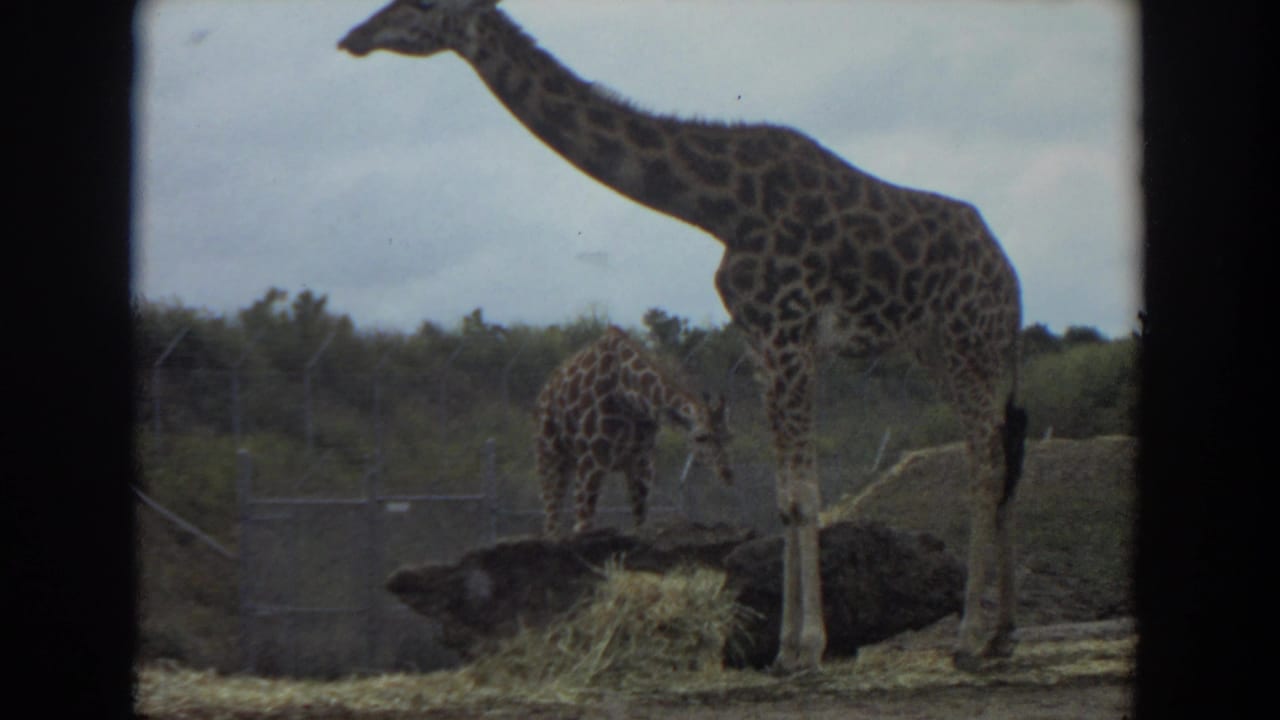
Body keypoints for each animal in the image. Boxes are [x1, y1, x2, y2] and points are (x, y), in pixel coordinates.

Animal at [535, 325, 733, 537]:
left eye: (728, 437)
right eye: (701, 437)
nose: (727, 474)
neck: (629, 395)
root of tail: (543, 394)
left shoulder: (641, 462)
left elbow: (640, 525)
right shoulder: (592, 460)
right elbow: (583, 526)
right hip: (550, 457)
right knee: (551, 523)